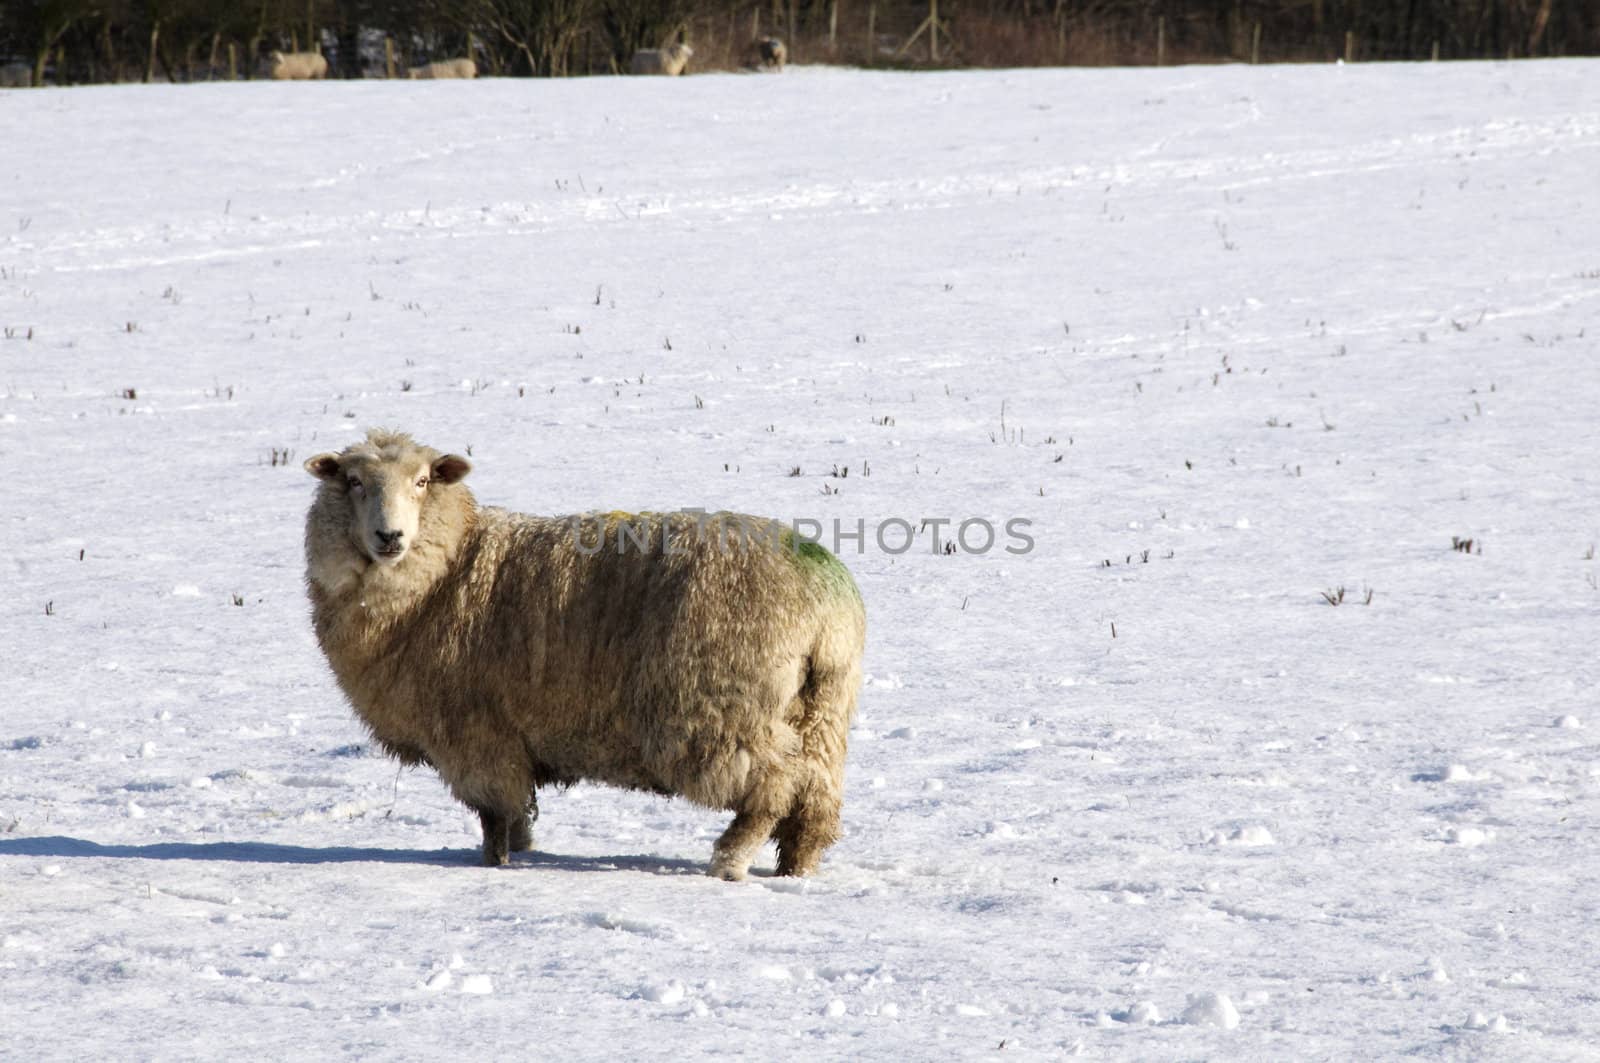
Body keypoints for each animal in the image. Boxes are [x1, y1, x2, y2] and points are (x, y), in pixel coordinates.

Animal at [305, 425, 870, 877]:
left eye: (422, 481)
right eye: (353, 482)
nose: (390, 536)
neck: (446, 573)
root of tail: (826, 606)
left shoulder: (477, 733)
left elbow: (495, 814)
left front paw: (494, 864)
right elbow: (518, 809)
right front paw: (524, 850)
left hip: (720, 713)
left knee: (776, 785)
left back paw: (729, 861)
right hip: (821, 710)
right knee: (815, 794)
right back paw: (797, 867)